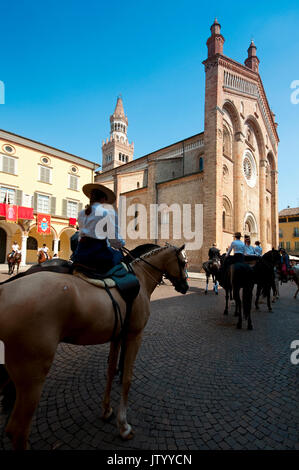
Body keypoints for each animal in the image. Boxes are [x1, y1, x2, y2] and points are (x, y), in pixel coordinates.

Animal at [0, 244, 188, 450]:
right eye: (183, 262)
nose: (185, 287)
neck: (140, 276)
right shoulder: (134, 335)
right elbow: (127, 378)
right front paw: (124, 426)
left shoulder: (117, 336)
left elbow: (110, 370)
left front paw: (106, 410)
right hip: (32, 374)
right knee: (17, 431)